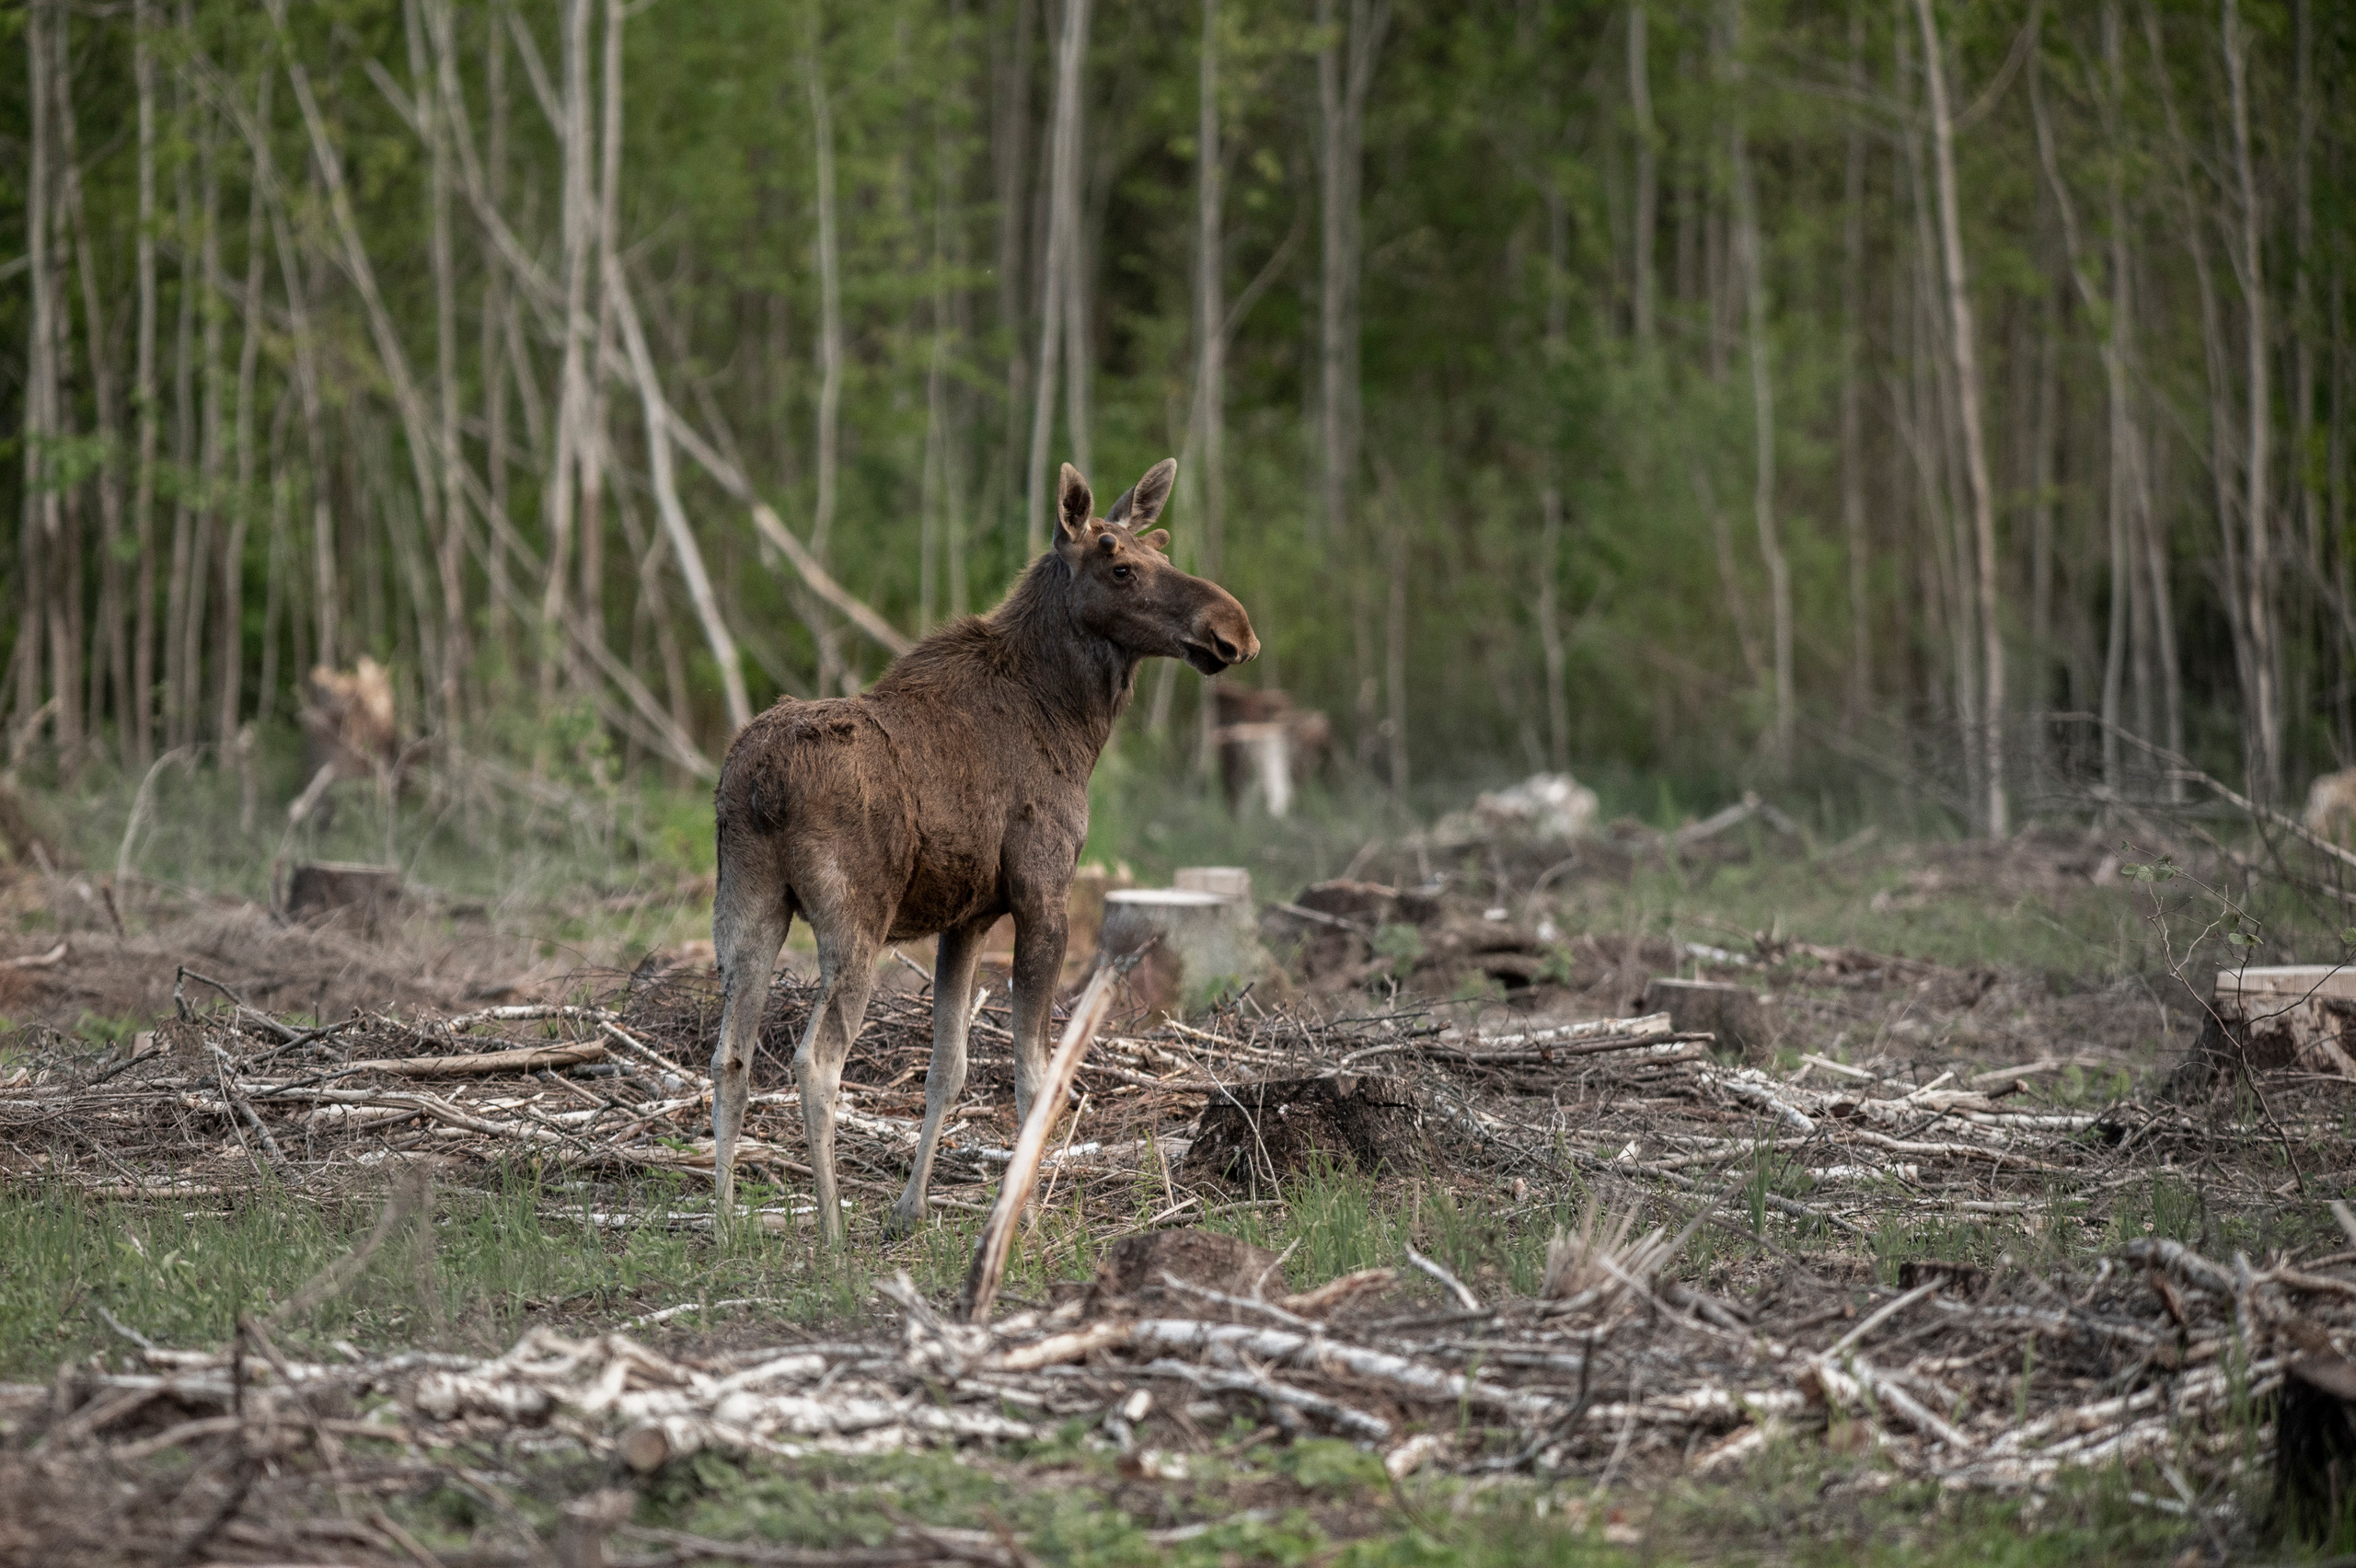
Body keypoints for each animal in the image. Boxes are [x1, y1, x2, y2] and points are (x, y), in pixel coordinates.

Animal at [708, 458, 1258, 1246]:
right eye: (1119, 564)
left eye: (1162, 546)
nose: (1233, 628)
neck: (1074, 721)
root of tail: (759, 782)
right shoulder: (1042, 895)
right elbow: (1036, 1073)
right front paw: (1025, 1219)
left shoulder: (965, 918)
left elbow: (951, 1067)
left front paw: (909, 1211)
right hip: (853, 921)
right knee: (816, 1060)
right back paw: (833, 1232)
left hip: (748, 905)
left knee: (731, 1054)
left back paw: (725, 1222)